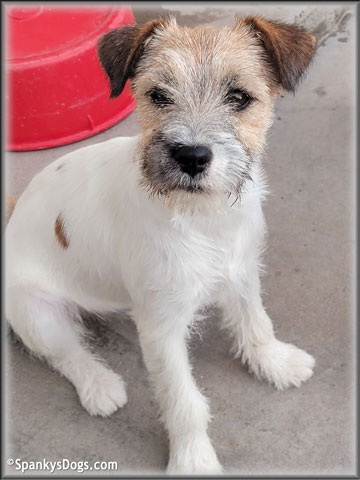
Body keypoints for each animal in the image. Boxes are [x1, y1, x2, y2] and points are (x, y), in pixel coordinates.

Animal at [4, 15, 316, 476]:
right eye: (159, 95)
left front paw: (275, 363)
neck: (203, 217)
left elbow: (256, 324)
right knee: (65, 354)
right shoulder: (161, 329)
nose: (191, 156)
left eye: (239, 97)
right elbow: (183, 401)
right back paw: (100, 386)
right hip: (35, 313)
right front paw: (193, 458)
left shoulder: (241, 273)